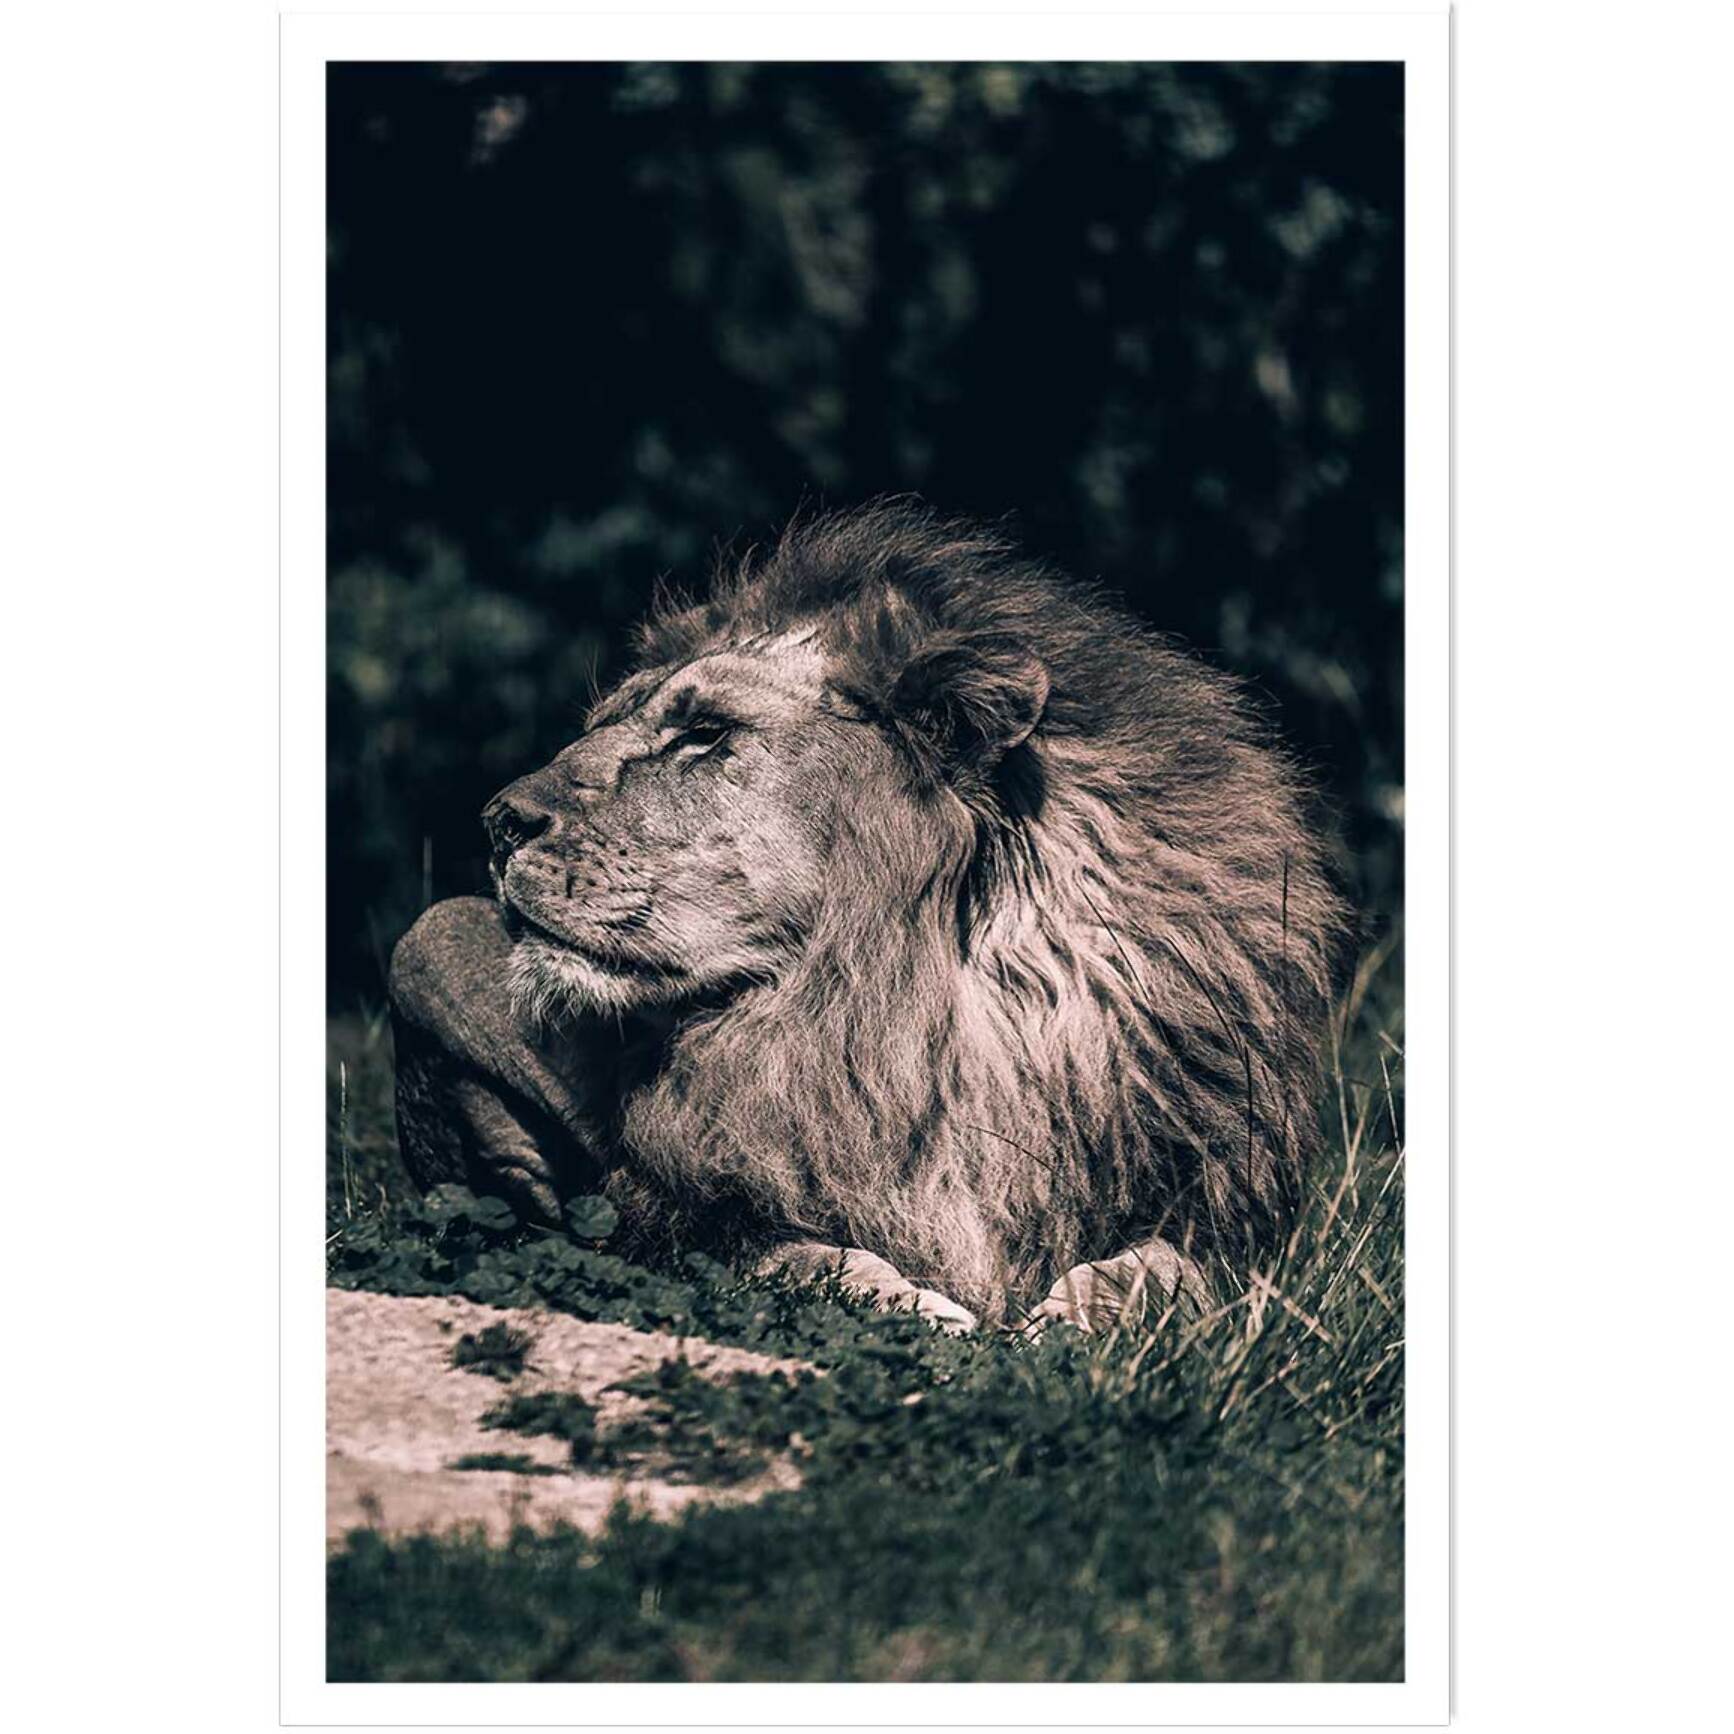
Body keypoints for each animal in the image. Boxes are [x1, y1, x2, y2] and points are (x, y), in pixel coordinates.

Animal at [388, 503, 1348, 1331]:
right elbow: (802, 1256)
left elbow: (1171, 1270)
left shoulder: (1226, 1205)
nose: (498, 820)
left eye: (704, 733)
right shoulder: (680, 1213)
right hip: (422, 945)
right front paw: (924, 1310)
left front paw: (1077, 1318)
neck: (904, 1015)